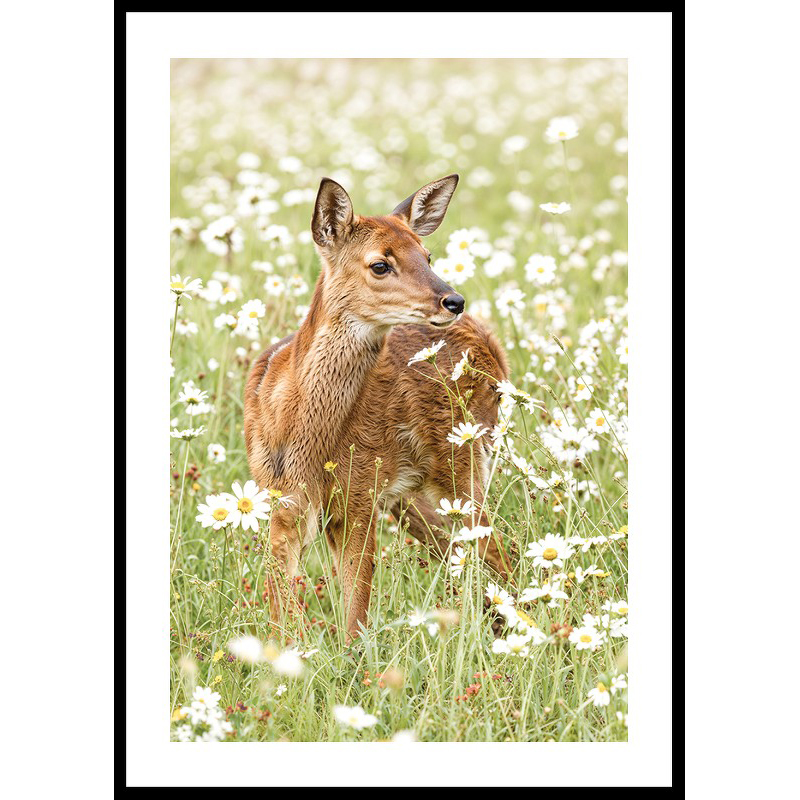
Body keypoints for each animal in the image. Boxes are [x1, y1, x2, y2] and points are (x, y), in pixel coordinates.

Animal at [243, 174, 513, 642]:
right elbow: (282, 610)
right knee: (474, 559)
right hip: (413, 497)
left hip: (464, 464)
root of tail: (490, 343)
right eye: (380, 264)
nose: (453, 300)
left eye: (427, 254)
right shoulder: (282, 500)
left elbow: (356, 614)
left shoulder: (359, 496)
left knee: (499, 552)